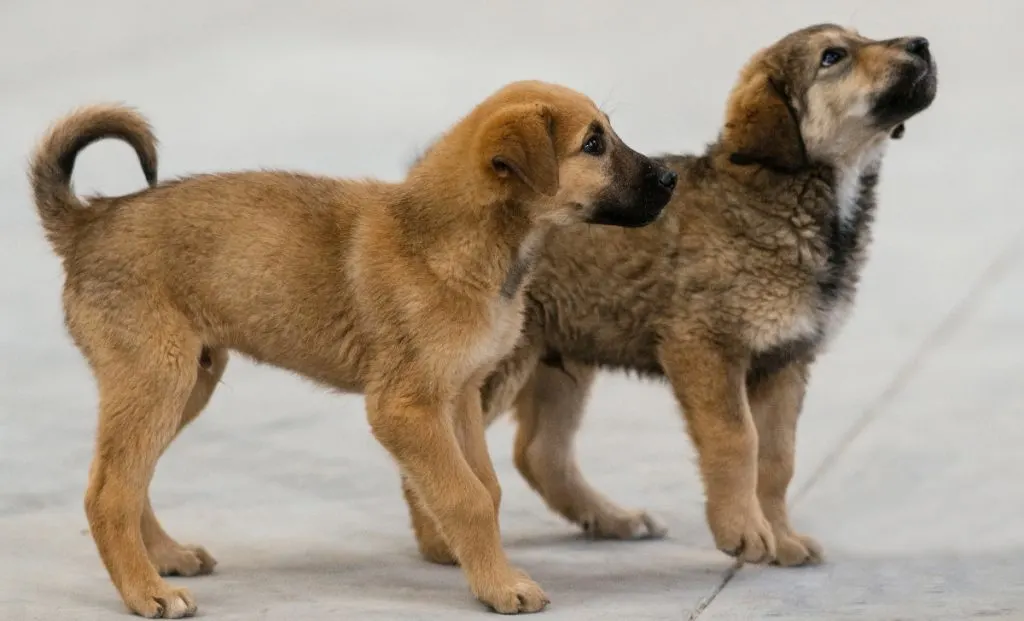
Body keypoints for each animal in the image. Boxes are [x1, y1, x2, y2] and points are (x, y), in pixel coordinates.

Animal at [29, 81, 679, 618]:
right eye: (593, 144)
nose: (672, 180)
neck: (449, 241)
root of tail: (89, 221)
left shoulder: (460, 394)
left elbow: (486, 487)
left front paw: (474, 563)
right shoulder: (404, 408)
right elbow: (466, 495)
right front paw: (501, 587)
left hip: (186, 382)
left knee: (122, 480)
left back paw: (165, 557)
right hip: (158, 379)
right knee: (109, 493)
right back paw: (147, 593)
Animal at [397, 26, 937, 573]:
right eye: (833, 56)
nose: (921, 44)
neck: (798, 200)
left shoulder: (786, 360)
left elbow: (778, 458)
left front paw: (782, 537)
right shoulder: (704, 346)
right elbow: (738, 440)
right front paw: (743, 532)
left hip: (563, 352)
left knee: (540, 451)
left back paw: (612, 518)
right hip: (497, 363)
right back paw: (442, 543)